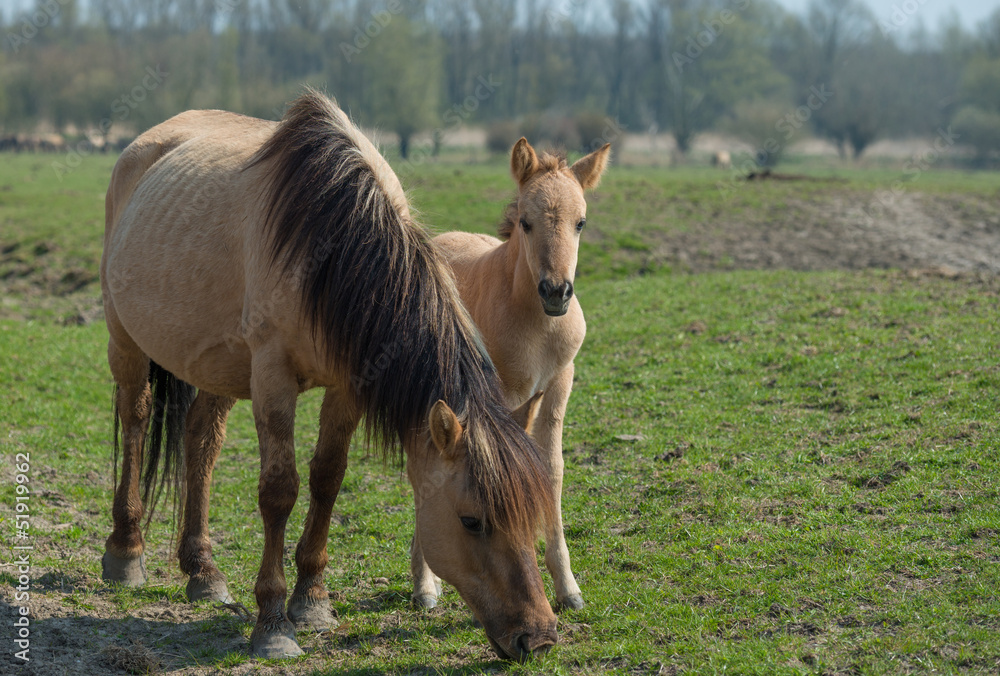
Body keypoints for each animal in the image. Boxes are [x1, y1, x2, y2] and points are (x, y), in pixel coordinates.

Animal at [99, 91, 558, 661]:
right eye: (471, 521)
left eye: (534, 512)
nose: (539, 637)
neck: (331, 246)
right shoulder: (272, 376)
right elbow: (280, 490)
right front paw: (273, 621)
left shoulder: (349, 383)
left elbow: (328, 478)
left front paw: (312, 599)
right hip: (126, 340)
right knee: (136, 419)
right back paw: (125, 551)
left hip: (218, 365)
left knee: (201, 440)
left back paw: (203, 572)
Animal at [410, 138, 610, 612]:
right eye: (525, 221)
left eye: (581, 222)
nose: (556, 292)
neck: (536, 325)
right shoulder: (495, 395)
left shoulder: (558, 384)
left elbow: (550, 467)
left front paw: (568, 587)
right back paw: (425, 585)